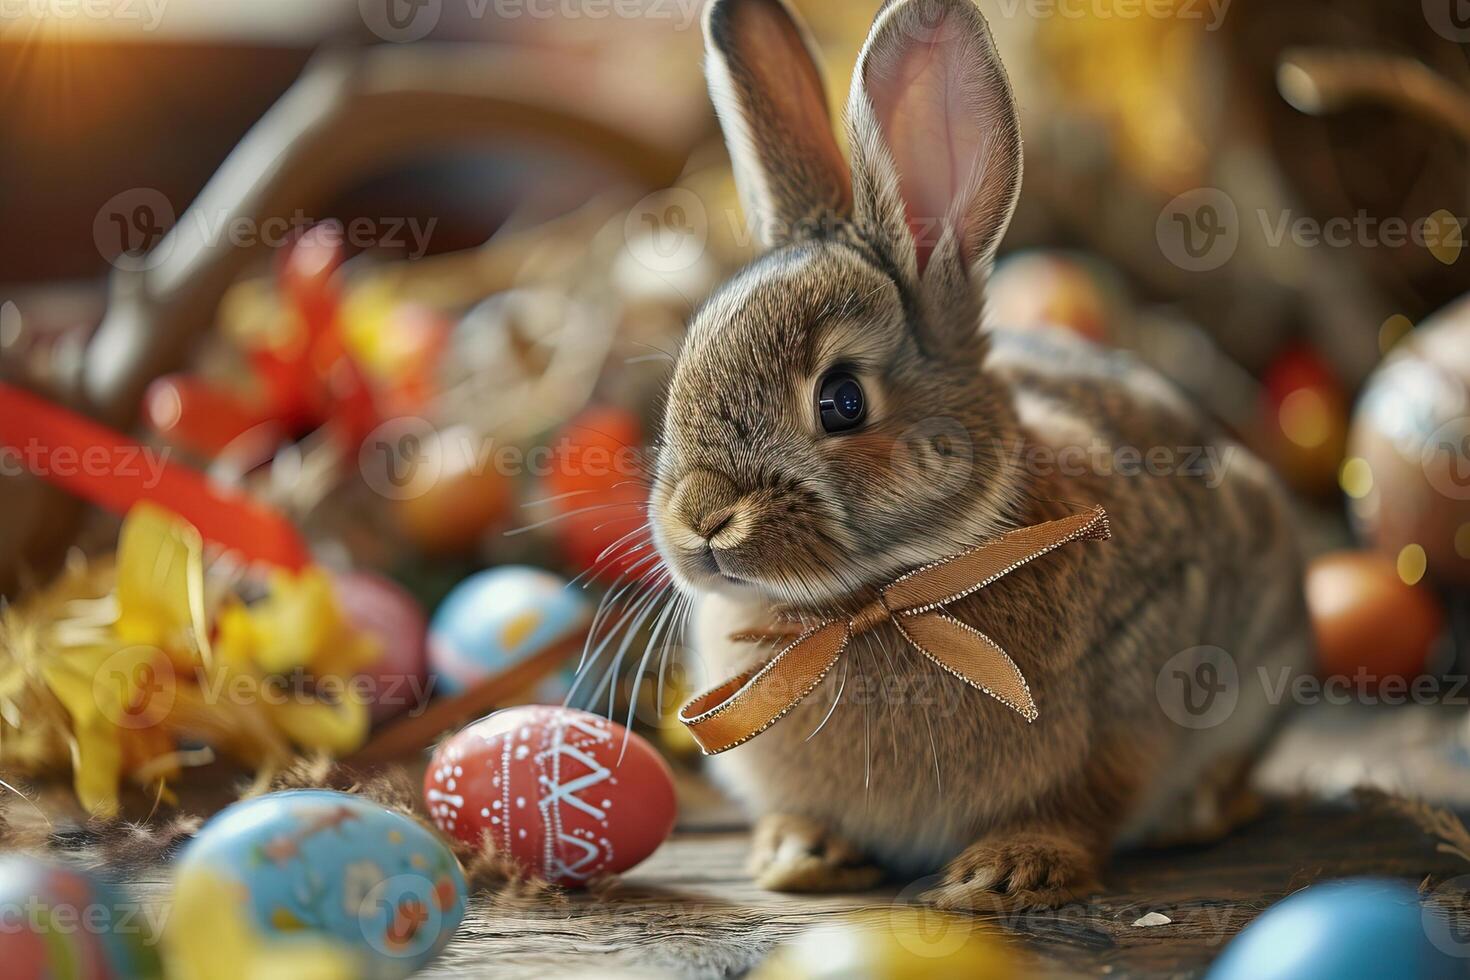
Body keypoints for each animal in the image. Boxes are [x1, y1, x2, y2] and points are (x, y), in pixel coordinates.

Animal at [649, 0, 1317, 910]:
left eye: (842, 400)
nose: (701, 522)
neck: (878, 600)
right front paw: (800, 853)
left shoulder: (1154, 658)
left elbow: (1093, 792)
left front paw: (1008, 871)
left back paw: (1198, 808)